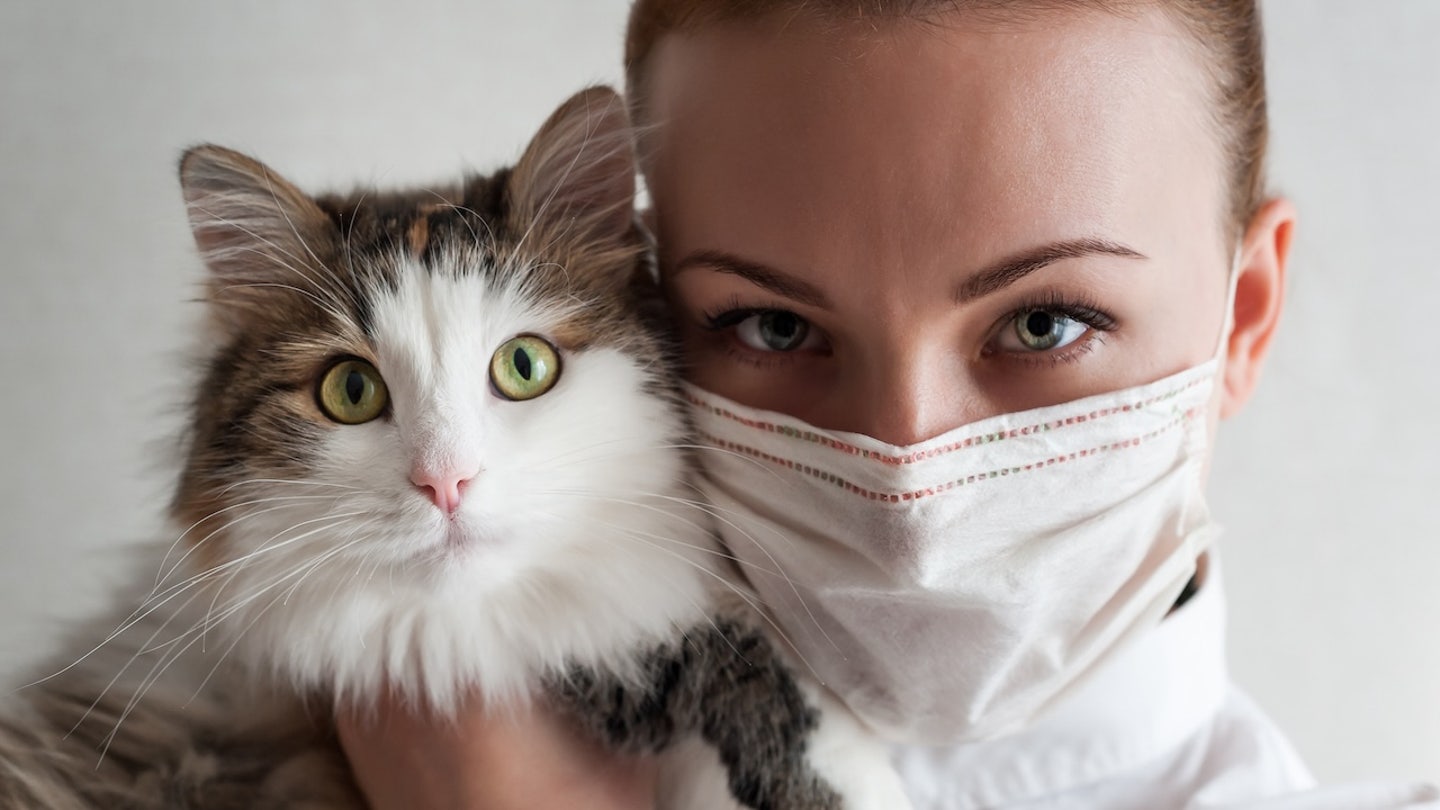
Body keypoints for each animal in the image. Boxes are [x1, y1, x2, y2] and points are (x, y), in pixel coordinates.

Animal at [0, 88, 898, 807]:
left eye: (525, 367)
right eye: (350, 391)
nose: (445, 482)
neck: (458, 638)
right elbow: (717, 657)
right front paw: (847, 773)